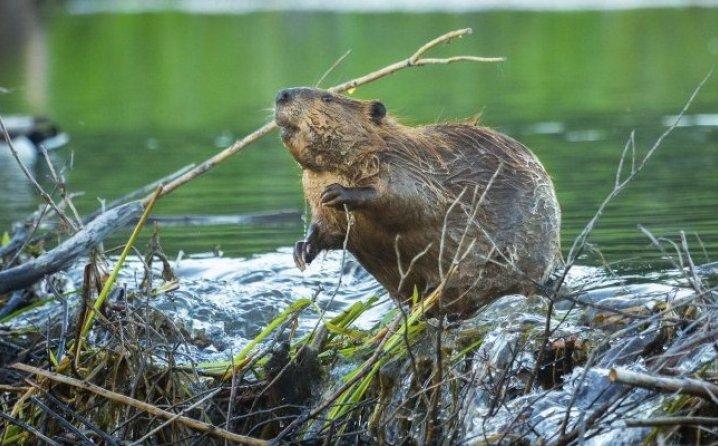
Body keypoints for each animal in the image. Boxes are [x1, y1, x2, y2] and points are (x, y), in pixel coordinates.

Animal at [276, 87, 564, 316]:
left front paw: (339, 193)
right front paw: (302, 251)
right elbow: (327, 228)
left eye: (327, 98)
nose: (282, 94)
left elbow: (411, 200)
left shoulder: (405, 165)